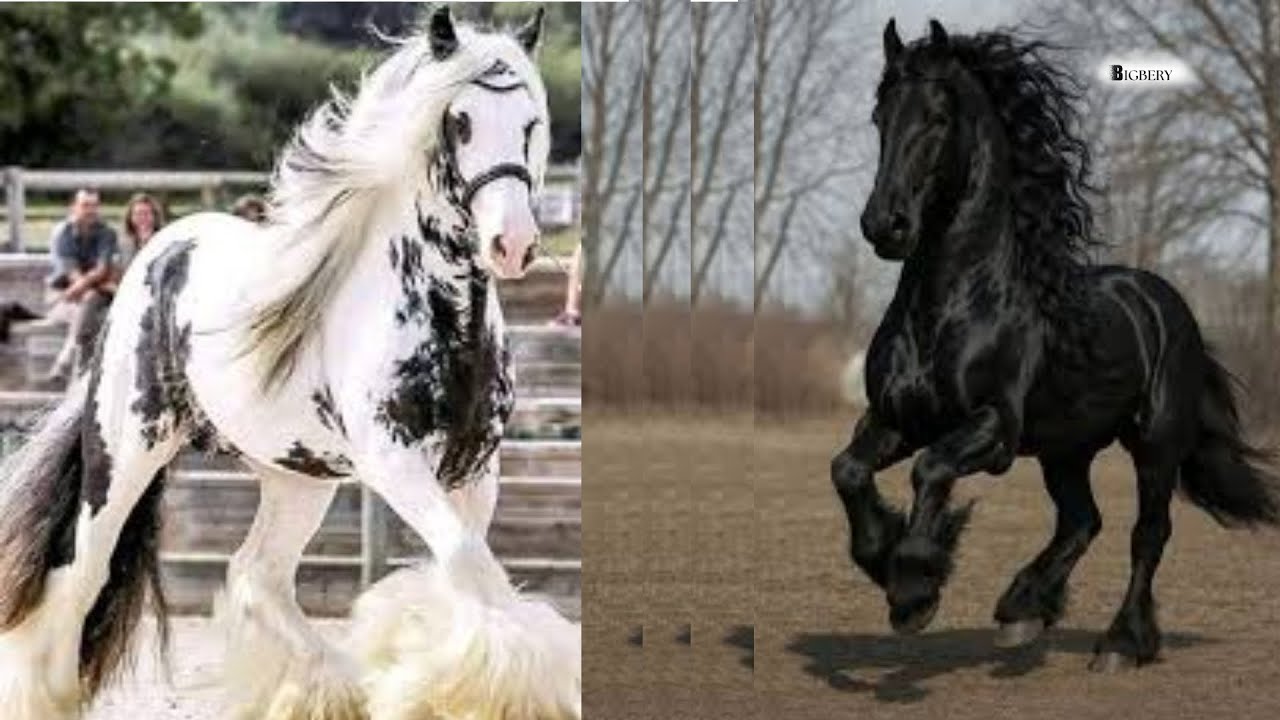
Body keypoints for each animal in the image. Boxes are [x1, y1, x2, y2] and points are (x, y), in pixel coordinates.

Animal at [0, 7, 579, 719]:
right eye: (460, 121)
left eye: (530, 123)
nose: (513, 243)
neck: (441, 313)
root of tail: (161, 248)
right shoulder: (393, 459)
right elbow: (468, 562)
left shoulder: (476, 469)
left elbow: (465, 568)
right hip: (125, 448)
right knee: (83, 571)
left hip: (297, 474)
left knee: (257, 573)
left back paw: (329, 689)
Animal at [831, 18, 1280, 672]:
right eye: (879, 115)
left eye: (937, 117)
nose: (883, 226)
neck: (952, 306)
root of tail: (1164, 302)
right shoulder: (895, 418)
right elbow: (848, 471)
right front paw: (884, 560)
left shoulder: (993, 428)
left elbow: (930, 468)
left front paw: (914, 589)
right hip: (1065, 449)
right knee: (1081, 521)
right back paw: (1022, 612)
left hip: (1155, 444)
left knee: (1147, 534)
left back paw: (1119, 644)